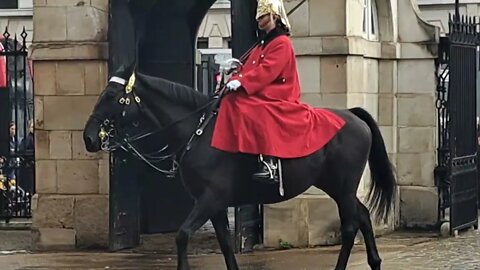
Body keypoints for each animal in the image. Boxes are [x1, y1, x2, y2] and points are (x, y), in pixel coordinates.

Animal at [84, 67, 396, 270]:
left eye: (111, 95)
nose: (89, 138)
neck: (198, 131)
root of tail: (352, 115)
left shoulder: (211, 198)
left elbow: (182, 235)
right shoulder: (213, 204)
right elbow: (224, 244)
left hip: (343, 186)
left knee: (350, 225)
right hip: (335, 185)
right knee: (363, 215)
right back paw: (375, 262)